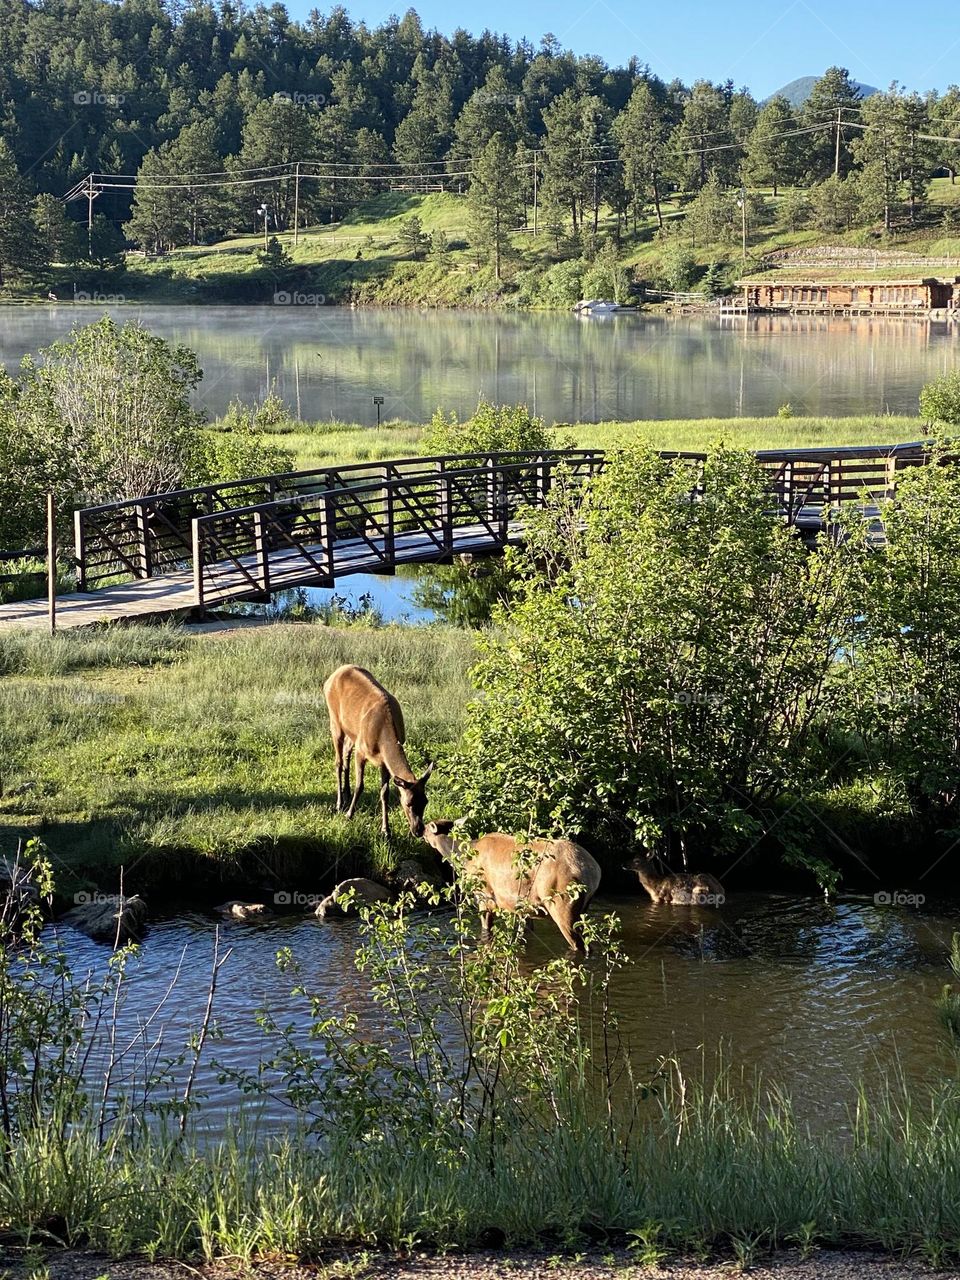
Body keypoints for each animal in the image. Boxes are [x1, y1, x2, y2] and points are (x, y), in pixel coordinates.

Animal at [323, 665, 435, 844]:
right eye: (408, 803)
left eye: (425, 801)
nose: (418, 831)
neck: (383, 737)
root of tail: (331, 676)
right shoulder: (362, 750)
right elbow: (360, 785)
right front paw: (349, 815)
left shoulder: (383, 762)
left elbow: (385, 793)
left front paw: (386, 831)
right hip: (334, 721)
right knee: (338, 762)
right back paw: (340, 804)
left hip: (353, 733)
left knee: (346, 751)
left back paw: (346, 795)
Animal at [422, 819, 601, 952]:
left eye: (428, 827)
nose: (419, 831)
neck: (465, 860)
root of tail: (593, 872)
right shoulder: (525, 907)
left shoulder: (484, 896)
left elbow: (486, 930)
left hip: (562, 903)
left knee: (580, 945)